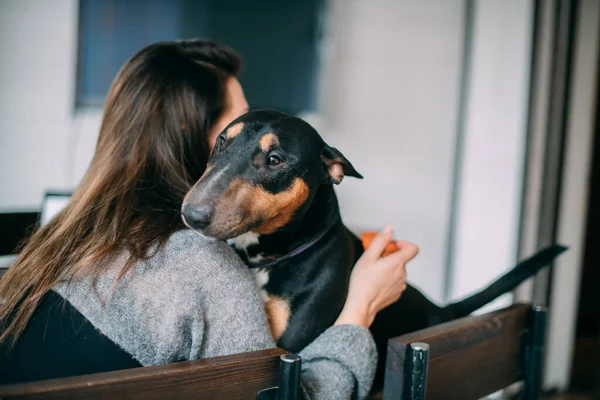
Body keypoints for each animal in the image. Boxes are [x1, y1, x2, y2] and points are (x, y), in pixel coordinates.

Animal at [180, 110, 564, 384]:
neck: (266, 259)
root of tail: (441, 313)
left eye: (275, 159)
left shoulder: (293, 348)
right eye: (221, 142)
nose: (191, 213)